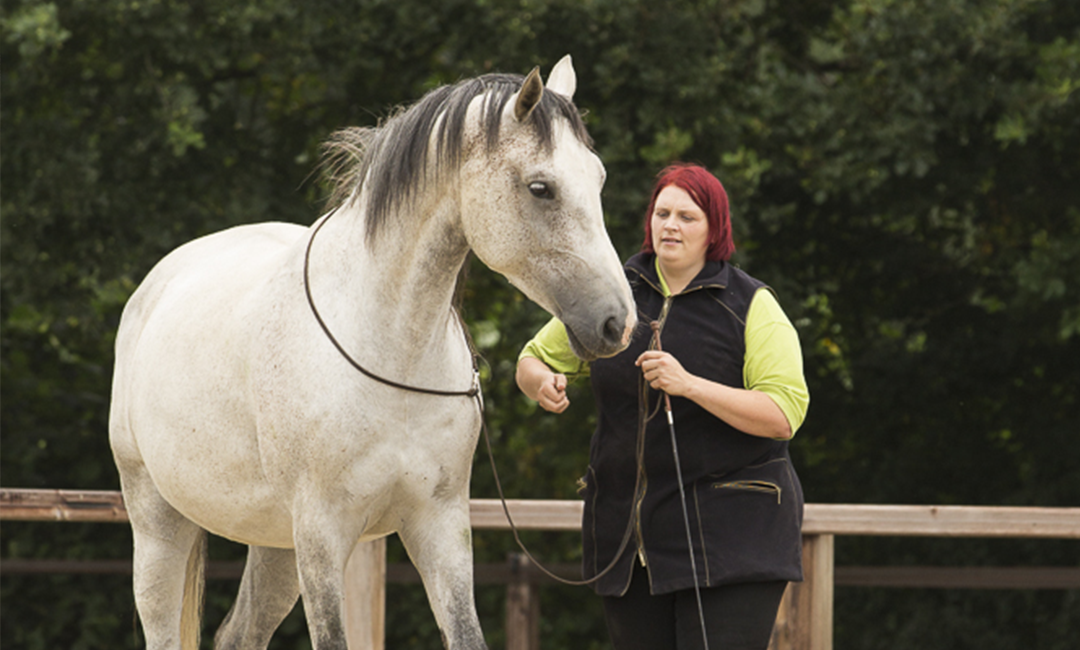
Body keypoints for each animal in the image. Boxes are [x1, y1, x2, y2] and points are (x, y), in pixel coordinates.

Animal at [109, 56, 630, 647]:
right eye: (541, 188)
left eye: (598, 178)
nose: (617, 322)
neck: (392, 351)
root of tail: (155, 285)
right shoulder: (323, 531)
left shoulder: (440, 526)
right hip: (158, 523)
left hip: (275, 543)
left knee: (239, 633)